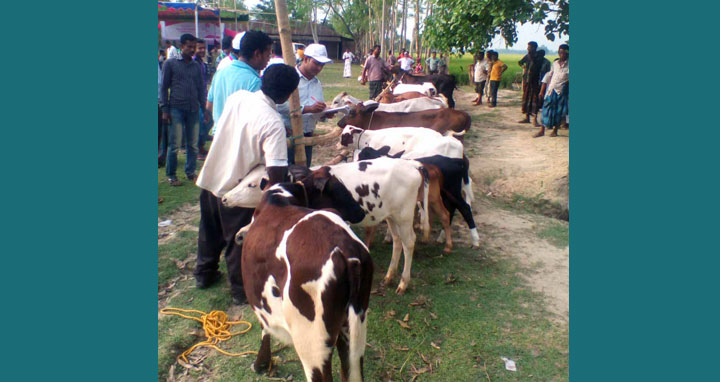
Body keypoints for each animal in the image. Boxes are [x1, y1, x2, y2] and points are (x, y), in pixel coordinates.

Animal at [243, 182, 376, 382]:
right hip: (355, 330)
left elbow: (265, 329)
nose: (359, 212)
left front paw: (260, 363)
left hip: (311, 343)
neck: (279, 197)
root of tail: (344, 249)